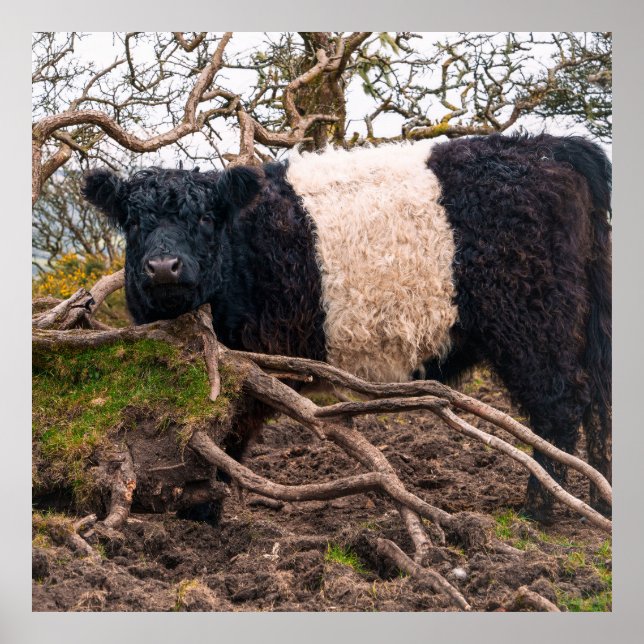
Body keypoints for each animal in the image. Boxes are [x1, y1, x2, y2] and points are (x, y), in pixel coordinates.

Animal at [82, 133, 612, 523]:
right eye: (133, 223)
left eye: (208, 218)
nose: (164, 267)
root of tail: (552, 146)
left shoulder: (248, 367)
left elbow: (223, 438)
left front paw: (203, 511)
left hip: (534, 326)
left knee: (559, 407)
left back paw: (539, 510)